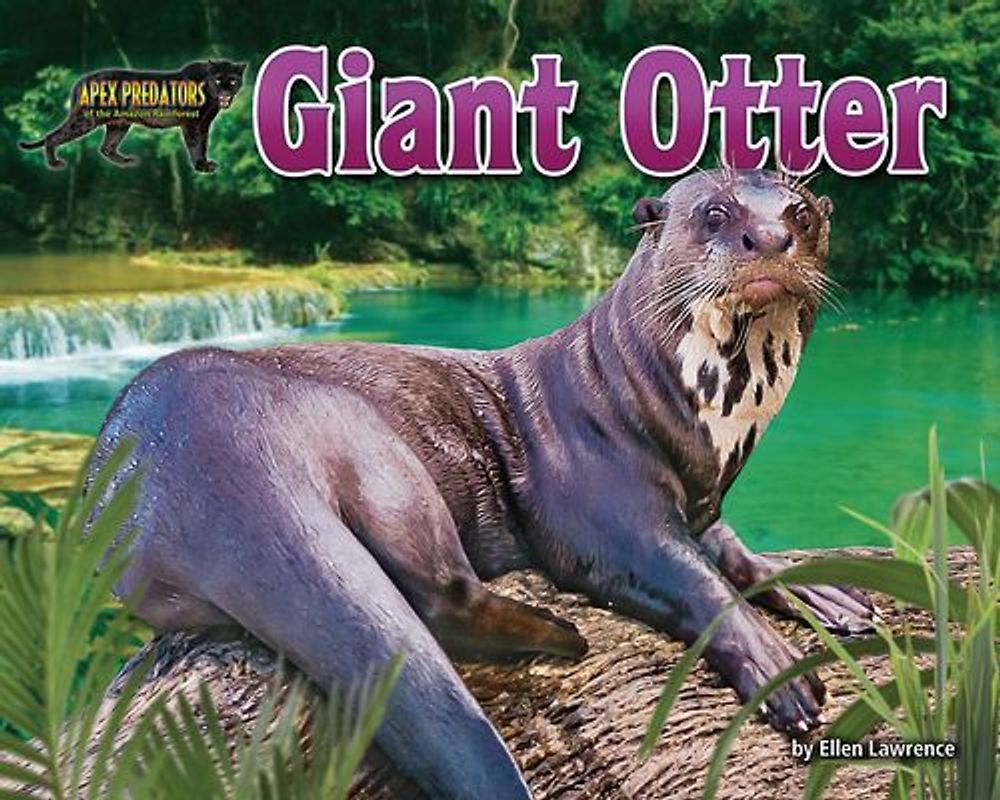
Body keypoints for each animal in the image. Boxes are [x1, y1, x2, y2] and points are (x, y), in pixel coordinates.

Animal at [87, 169, 874, 800]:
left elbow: (735, 553)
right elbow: (690, 577)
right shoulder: (602, 507)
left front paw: (822, 594)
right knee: (439, 591)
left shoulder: (706, 501)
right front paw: (775, 666)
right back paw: (561, 636)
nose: (770, 237)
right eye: (714, 212)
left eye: (802, 213)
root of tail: (191, 455)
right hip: (369, 443)